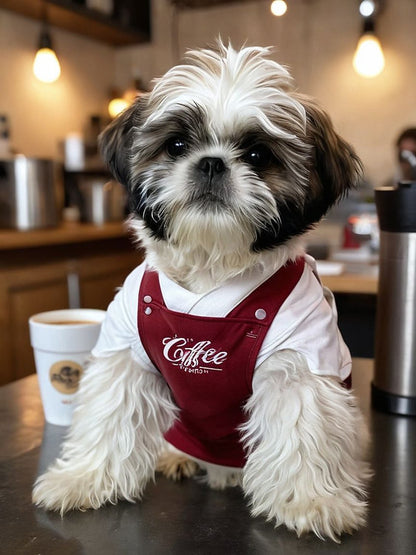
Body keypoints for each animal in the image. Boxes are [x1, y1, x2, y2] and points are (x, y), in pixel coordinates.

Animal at [31, 43, 370, 544]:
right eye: (176, 146)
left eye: (258, 154)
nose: (211, 162)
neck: (213, 267)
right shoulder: (125, 347)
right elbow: (112, 412)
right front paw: (84, 477)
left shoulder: (303, 355)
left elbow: (301, 422)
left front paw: (311, 501)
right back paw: (178, 455)